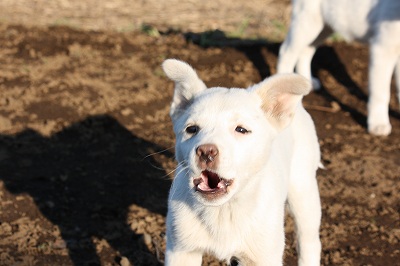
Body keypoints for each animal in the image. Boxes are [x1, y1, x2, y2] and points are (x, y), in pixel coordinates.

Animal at [162, 59, 322, 264]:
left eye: (241, 130)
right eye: (191, 129)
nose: (206, 152)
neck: (224, 209)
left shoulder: (265, 257)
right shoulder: (181, 251)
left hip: (303, 192)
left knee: (309, 242)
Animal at [278, 0, 400, 136]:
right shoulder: (382, 49)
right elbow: (381, 92)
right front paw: (379, 123)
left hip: (325, 26)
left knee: (306, 50)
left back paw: (308, 81)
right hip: (307, 21)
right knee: (287, 52)